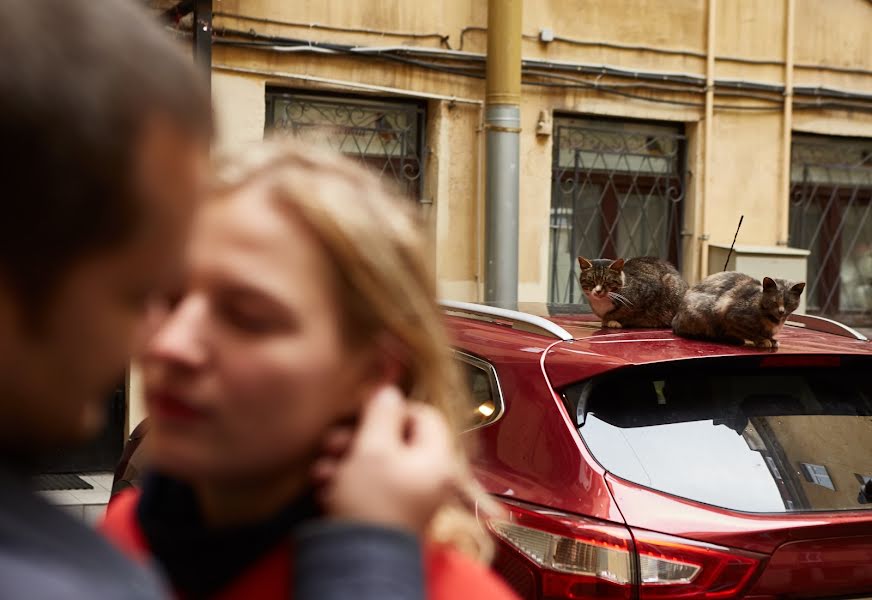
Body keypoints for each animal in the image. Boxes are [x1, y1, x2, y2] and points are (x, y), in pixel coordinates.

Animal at [672, 270, 808, 350]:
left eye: (788, 303)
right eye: (774, 301)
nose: (781, 311)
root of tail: (676, 319)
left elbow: (767, 334)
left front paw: (772, 340)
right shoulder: (731, 315)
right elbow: (751, 332)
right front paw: (763, 341)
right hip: (702, 312)